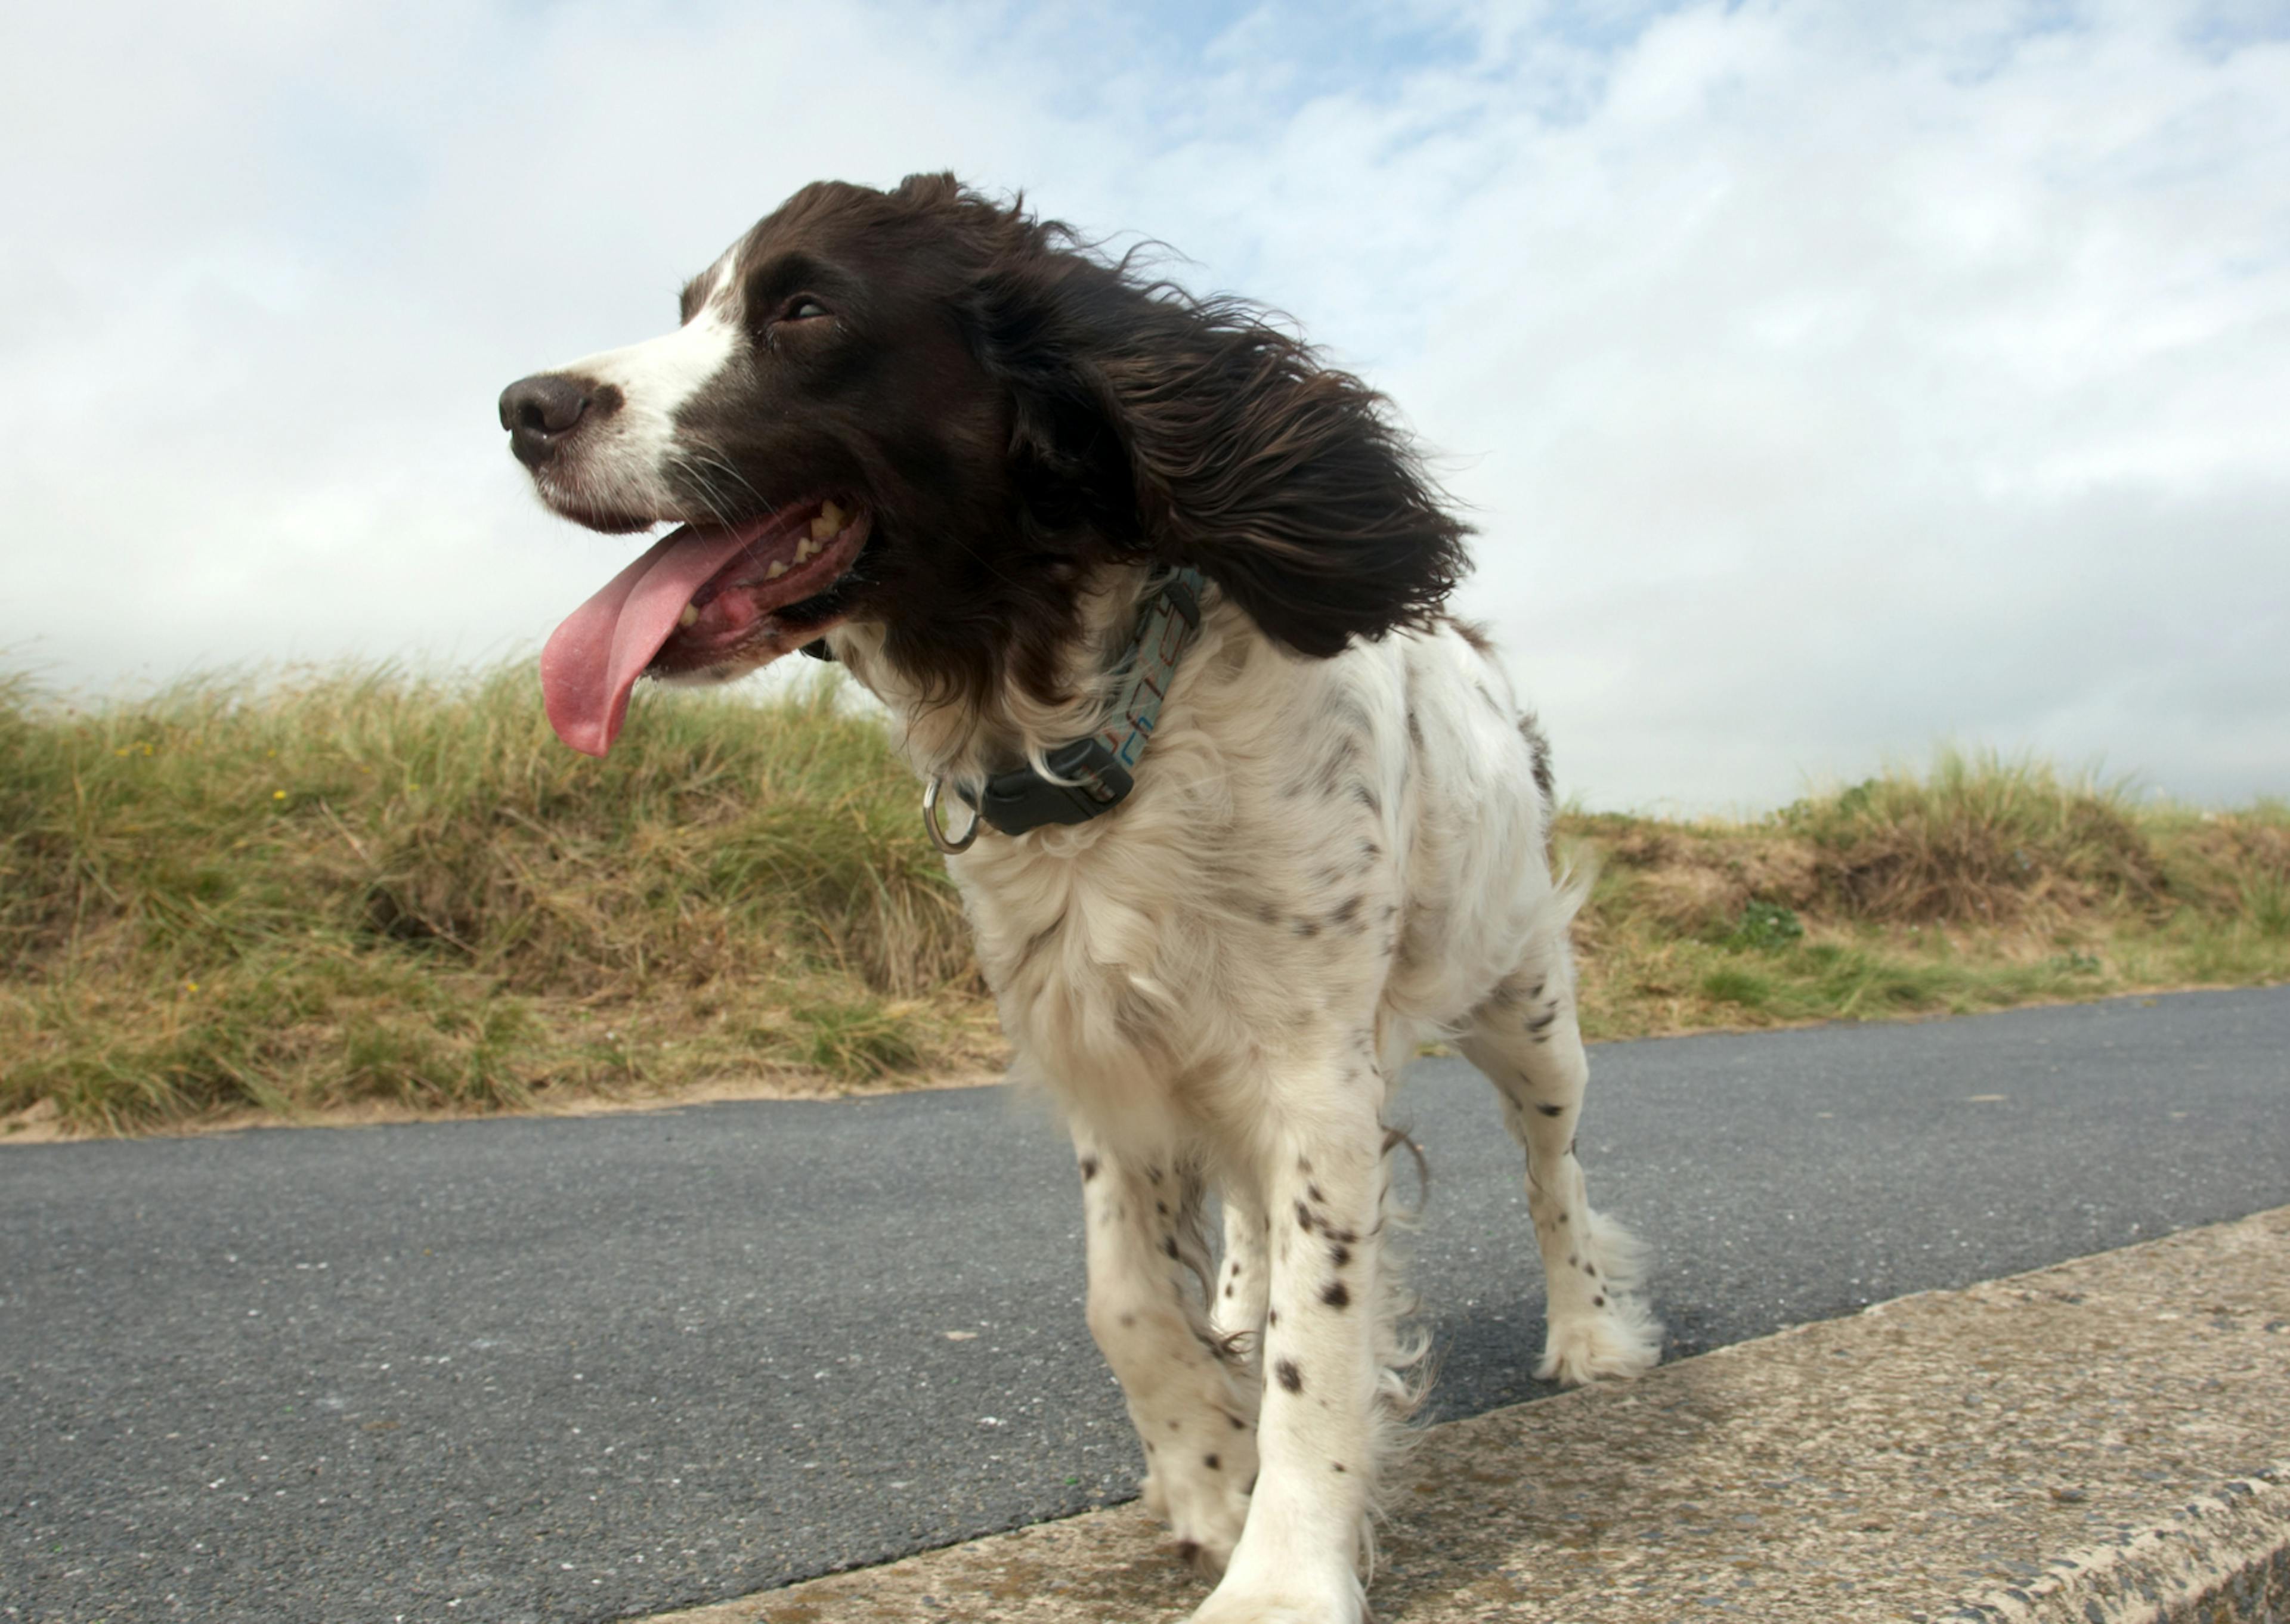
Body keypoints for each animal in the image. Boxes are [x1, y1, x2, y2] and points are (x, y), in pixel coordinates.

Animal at [501, 171, 1658, 1622]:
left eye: (805, 311)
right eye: (690, 307)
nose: (524, 407)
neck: (1097, 733)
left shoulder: (1314, 1071)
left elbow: (1324, 1344)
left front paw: (1284, 1568)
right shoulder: (1107, 1053)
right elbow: (1122, 1296)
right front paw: (1211, 1469)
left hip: (1527, 1010)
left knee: (1555, 1170)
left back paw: (1589, 1332)